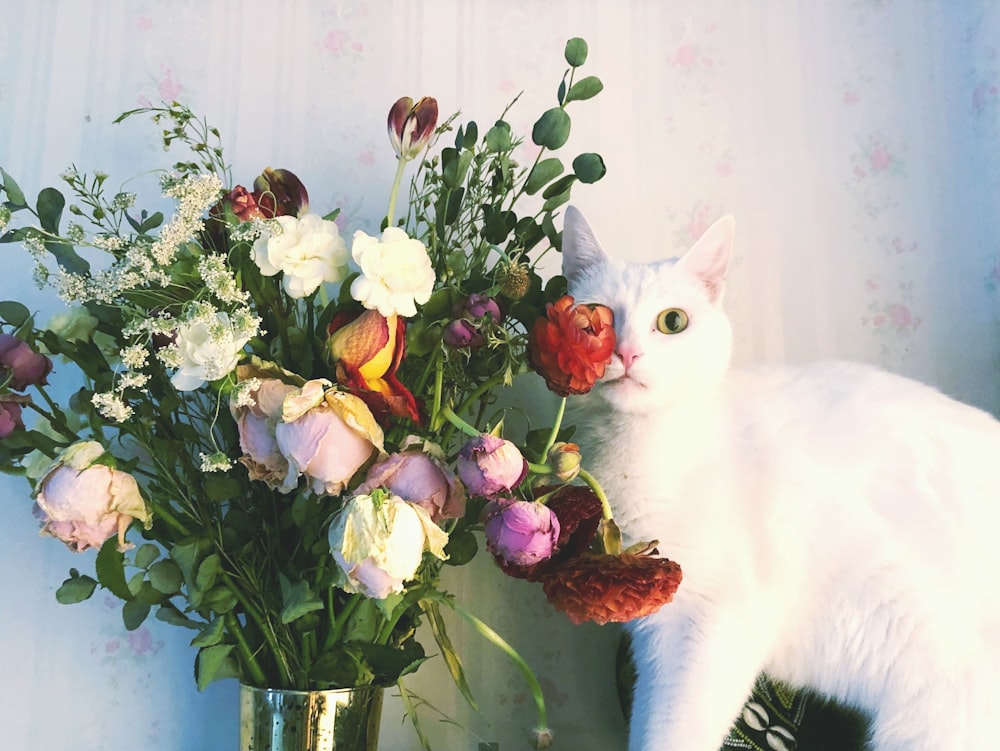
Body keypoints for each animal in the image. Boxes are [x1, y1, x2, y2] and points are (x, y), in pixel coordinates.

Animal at [560, 206, 1000, 751]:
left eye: (672, 322)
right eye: (592, 316)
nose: (626, 353)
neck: (644, 447)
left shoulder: (707, 625)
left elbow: (670, 733)